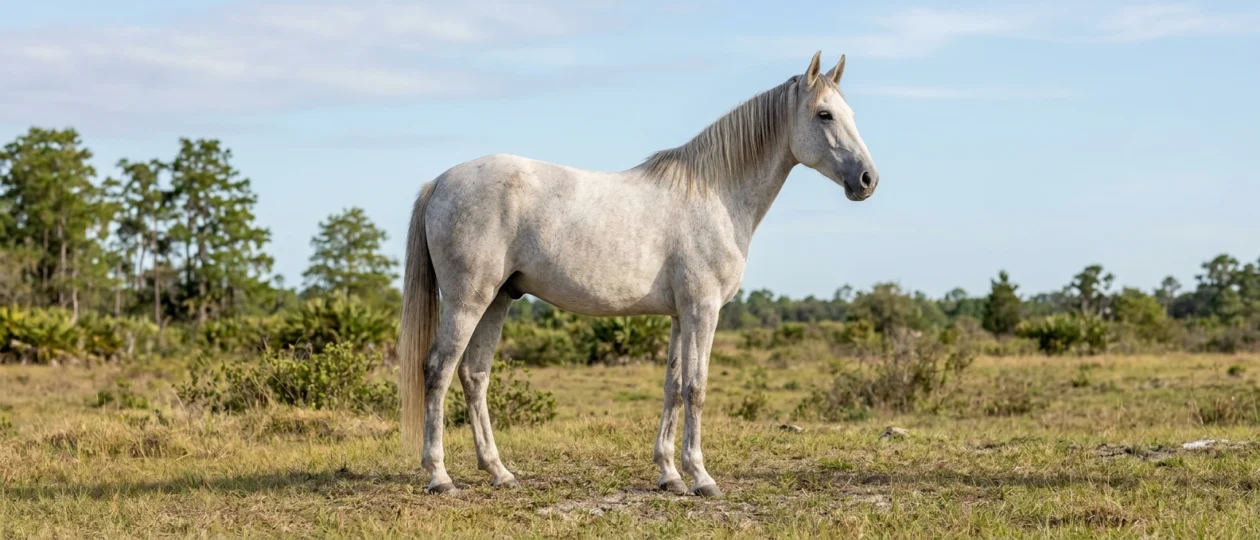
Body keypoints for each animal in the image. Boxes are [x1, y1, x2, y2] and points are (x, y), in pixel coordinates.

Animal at [398, 51, 879, 497]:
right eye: (824, 114)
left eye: (851, 114)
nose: (868, 179)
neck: (716, 193)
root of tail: (439, 182)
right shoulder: (703, 310)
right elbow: (696, 388)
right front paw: (702, 477)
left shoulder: (680, 315)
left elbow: (673, 386)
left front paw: (670, 475)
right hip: (467, 300)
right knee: (438, 370)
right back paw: (439, 476)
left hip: (498, 299)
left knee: (474, 375)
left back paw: (499, 472)